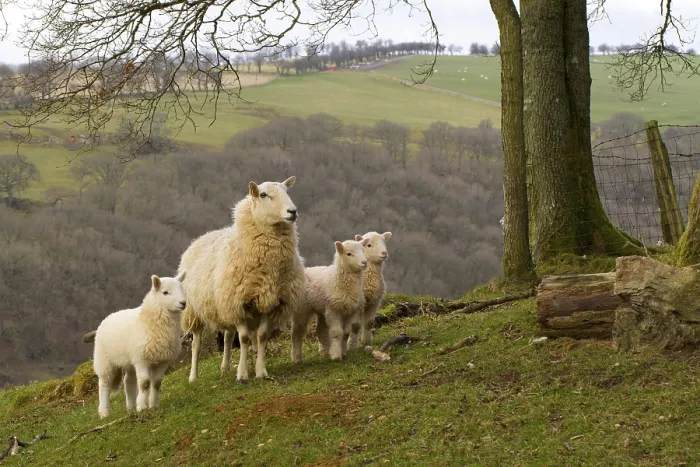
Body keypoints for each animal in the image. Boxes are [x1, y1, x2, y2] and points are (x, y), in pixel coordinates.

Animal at [85, 271, 187, 419]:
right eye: (165, 292)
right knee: (104, 384)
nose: (183, 303)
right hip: (104, 360)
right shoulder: (142, 359)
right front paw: (142, 407)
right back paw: (104, 412)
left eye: (182, 289)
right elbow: (144, 383)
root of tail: (108, 317)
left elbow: (156, 383)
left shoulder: (163, 360)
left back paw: (131, 407)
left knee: (129, 382)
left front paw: (153, 405)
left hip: (129, 360)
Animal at [179, 177, 305, 382]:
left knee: (228, 336)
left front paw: (261, 372)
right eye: (263, 195)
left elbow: (261, 336)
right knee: (196, 343)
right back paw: (193, 377)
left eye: (287, 191)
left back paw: (225, 368)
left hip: (224, 304)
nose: (292, 212)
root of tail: (200, 238)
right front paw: (243, 374)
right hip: (195, 310)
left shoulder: (268, 302)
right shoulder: (238, 302)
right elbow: (245, 338)